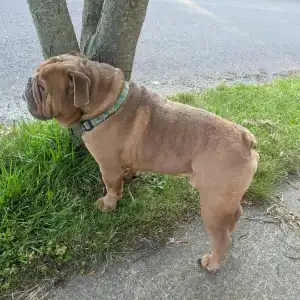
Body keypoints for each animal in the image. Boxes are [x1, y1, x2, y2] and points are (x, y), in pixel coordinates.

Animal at [23, 51, 258, 272]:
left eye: (42, 87)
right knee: (235, 214)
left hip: (212, 203)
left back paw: (212, 262)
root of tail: (245, 140)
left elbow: (112, 187)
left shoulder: (107, 166)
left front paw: (108, 204)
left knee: (221, 237)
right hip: (225, 199)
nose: (28, 82)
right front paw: (129, 176)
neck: (105, 103)